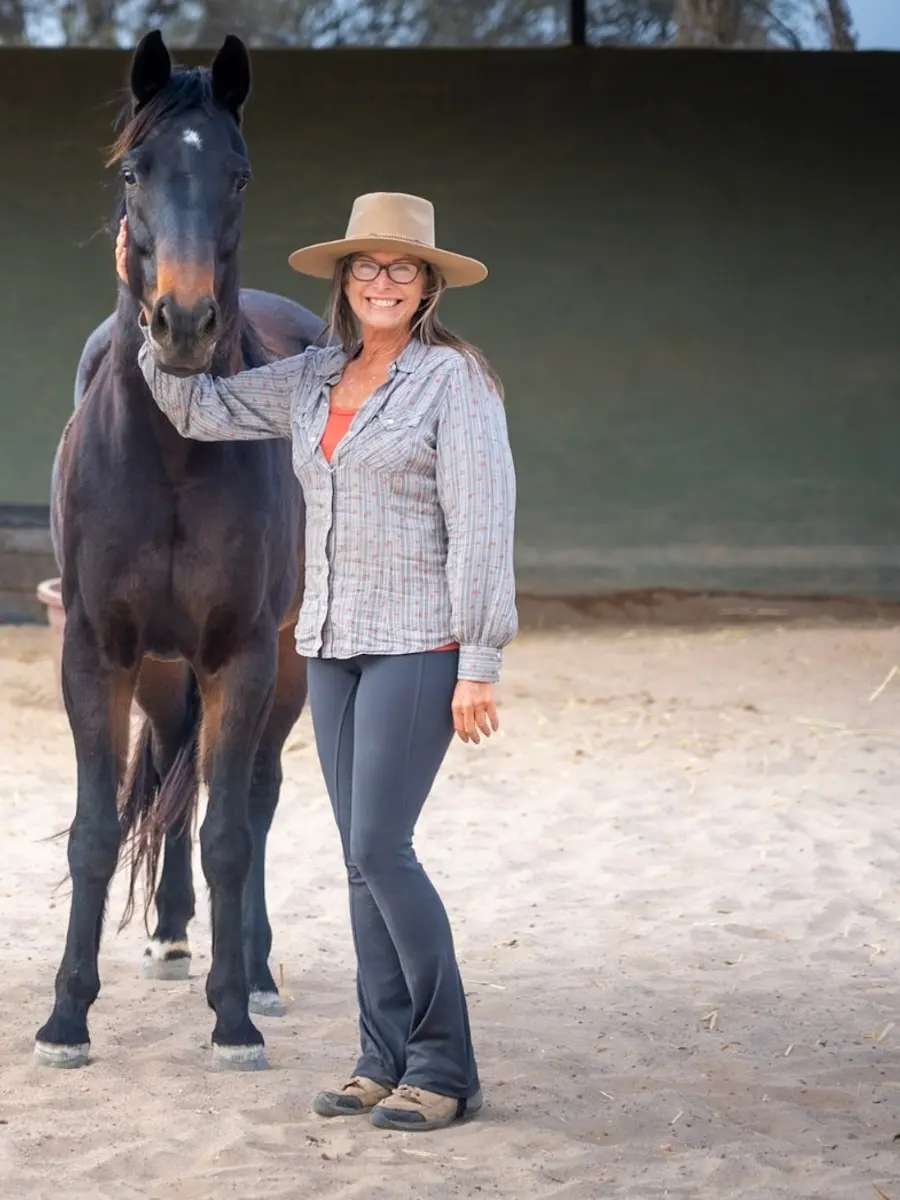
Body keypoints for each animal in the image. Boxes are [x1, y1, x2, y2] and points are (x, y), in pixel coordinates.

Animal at [35, 30, 324, 1072]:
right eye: (135, 171)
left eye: (237, 174)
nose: (186, 324)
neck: (169, 452)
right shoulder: (95, 651)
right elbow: (94, 830)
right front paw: (66, 1019)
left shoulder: (241, 655)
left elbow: (232, 832)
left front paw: (233, 1017)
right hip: (162, 671)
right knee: (168, 768)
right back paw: (166, 934)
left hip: (284, 666)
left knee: (253, 799)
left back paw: (260, 970)